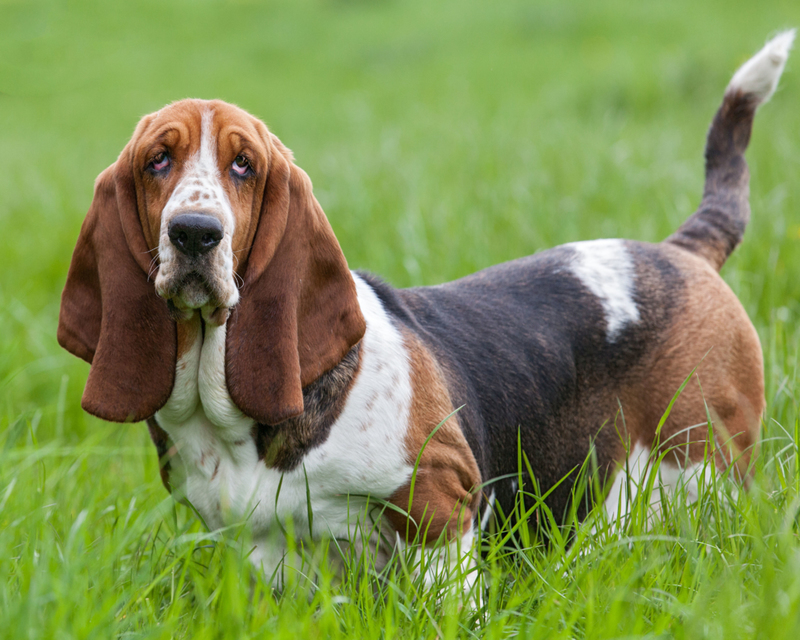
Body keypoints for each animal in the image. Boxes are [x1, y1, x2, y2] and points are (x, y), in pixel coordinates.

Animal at [57, 31, 792, 584]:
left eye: (244, 166)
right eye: (157, 161)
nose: (194, 233)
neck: (232, 421)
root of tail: (683, 251)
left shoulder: (439, 506)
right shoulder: (257, 550)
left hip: (703, 475)